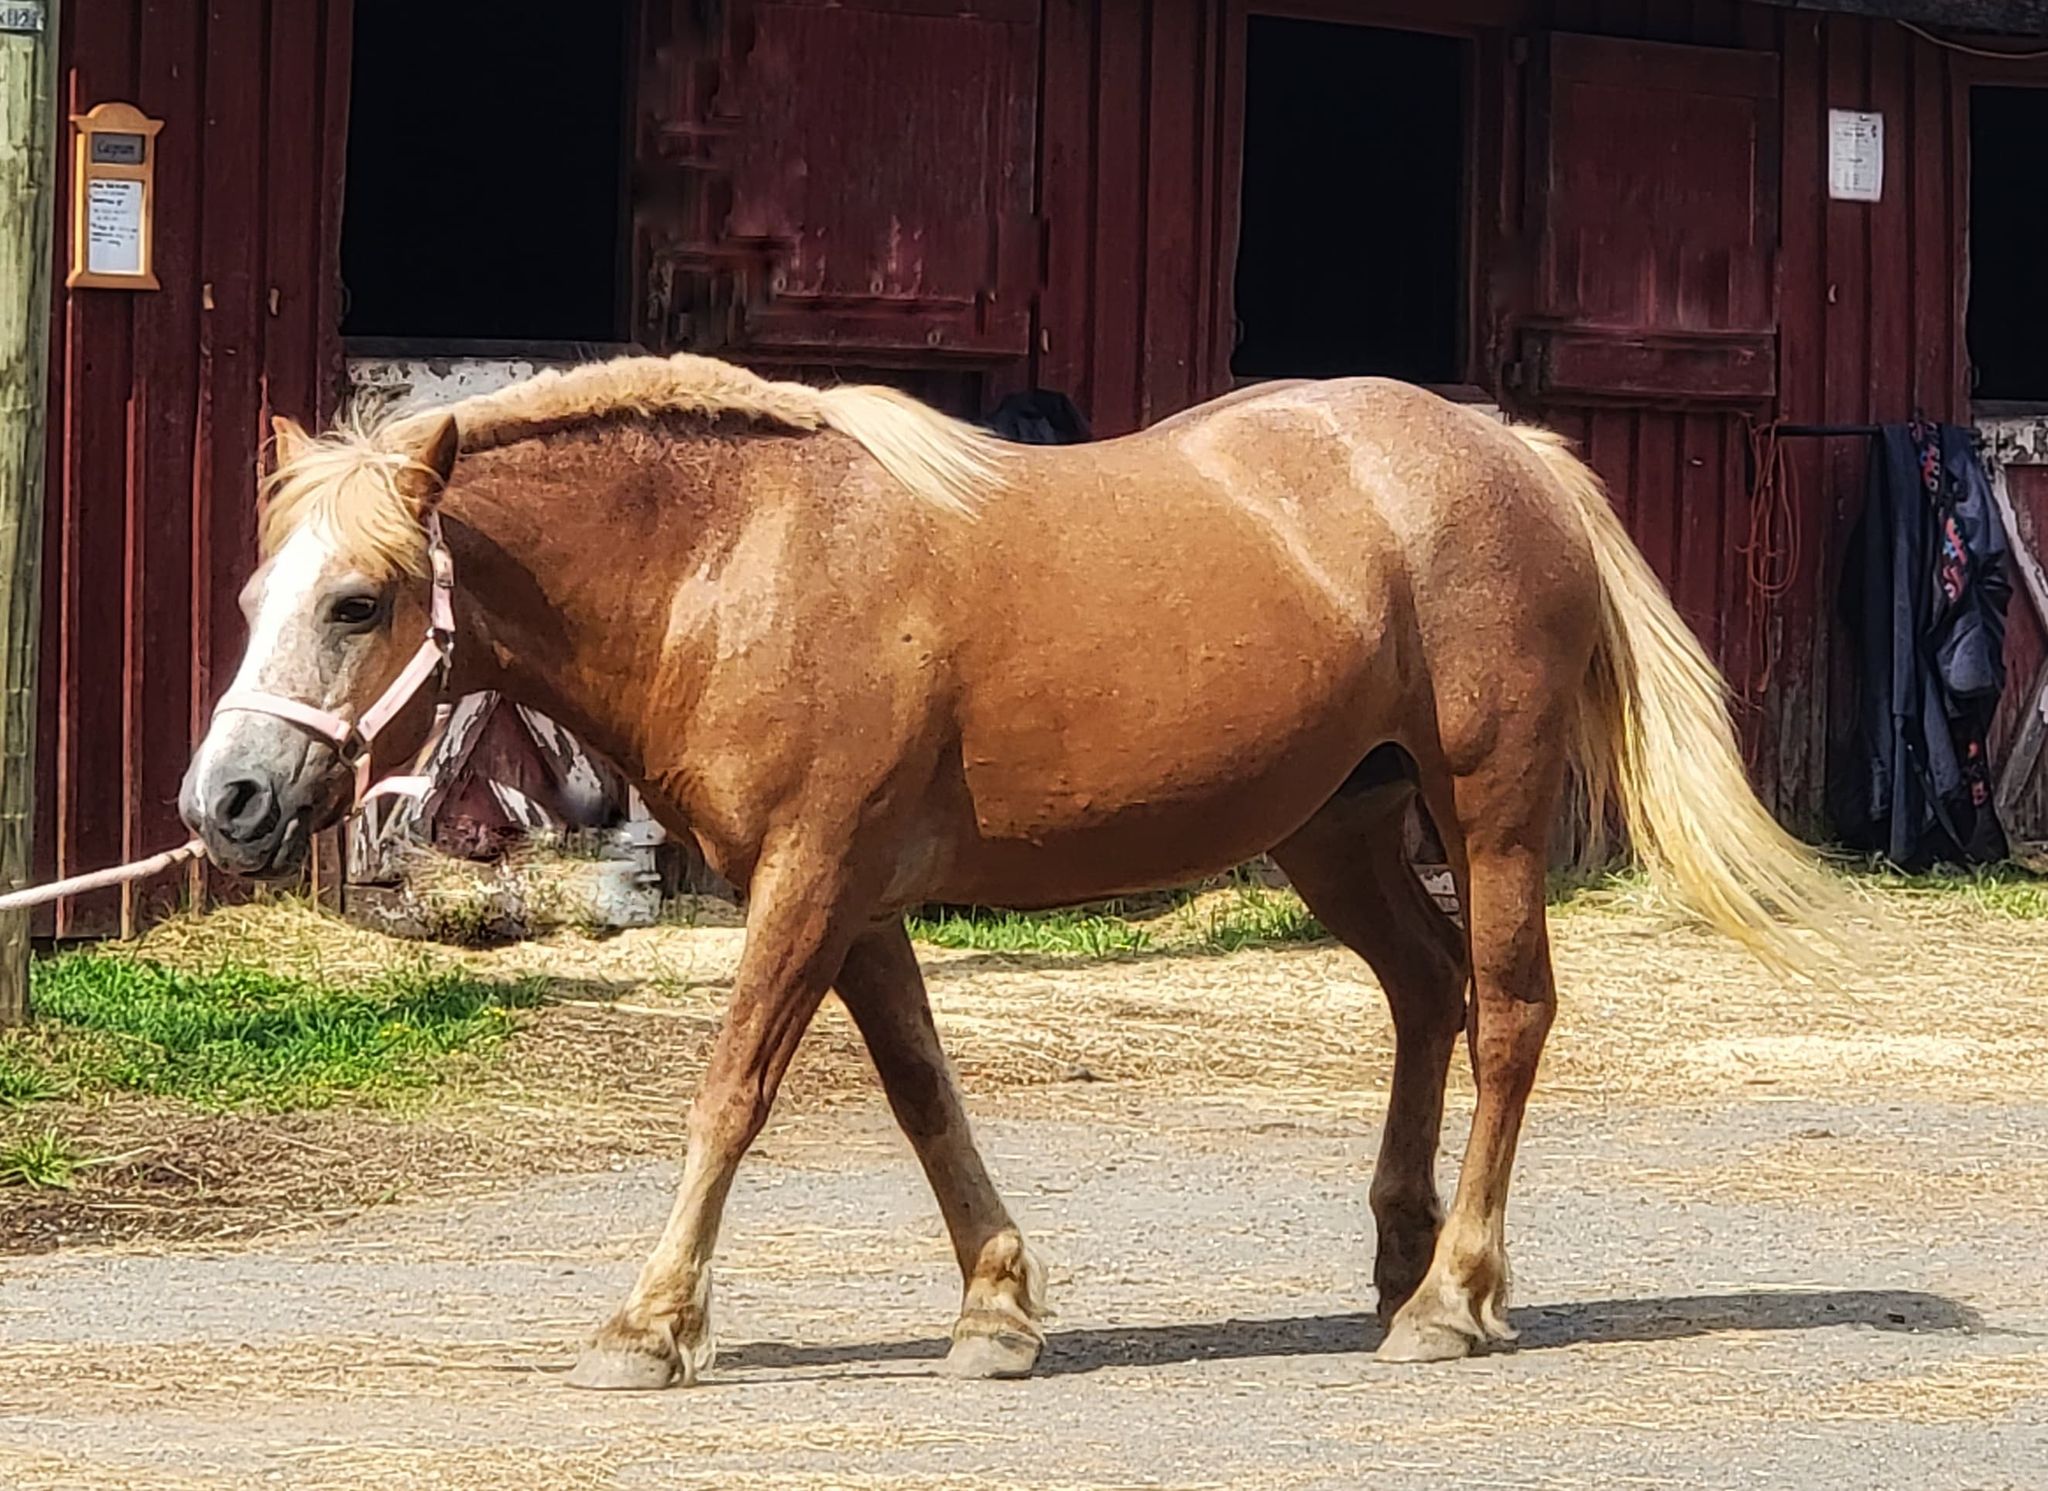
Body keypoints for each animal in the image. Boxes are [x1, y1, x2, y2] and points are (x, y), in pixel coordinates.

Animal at [180, 354, 1843, 1392]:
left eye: (359, 598)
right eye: (257, 594)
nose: (228, 798)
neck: (742, 555)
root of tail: (1512, 450)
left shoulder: (811, 877)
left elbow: (732, 1089)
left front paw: (649, 1324)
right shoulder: (853, 896)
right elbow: (924, 1094)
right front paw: (995, 1306)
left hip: (1485, 807)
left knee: (1506, 1014)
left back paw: (1453, 1296)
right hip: (1337, 829)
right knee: (1428, 998)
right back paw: (1400, 1257)